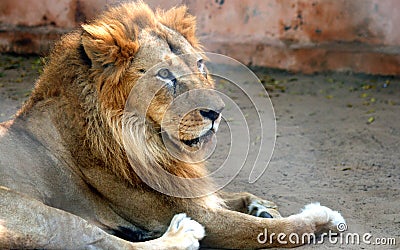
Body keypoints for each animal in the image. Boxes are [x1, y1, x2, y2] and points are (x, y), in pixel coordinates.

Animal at [0, 1, 344, 248]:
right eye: (165, 75)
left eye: (200, 64)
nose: (218, 111)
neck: (150, 142)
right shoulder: (195, 213)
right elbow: (272, 230)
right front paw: (323, 218)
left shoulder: (191, 191)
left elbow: (233, 195)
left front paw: (262, 205)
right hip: (40, 214)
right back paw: (182, 235)